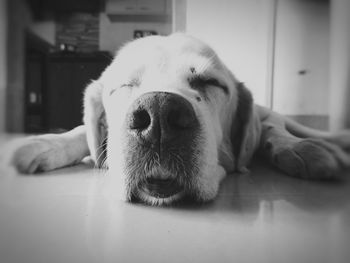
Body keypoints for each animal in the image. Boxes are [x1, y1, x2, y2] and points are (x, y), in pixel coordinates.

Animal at [8, 33, 350, 206]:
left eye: (210, 83)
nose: (158, 114)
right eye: (125, 85)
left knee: (272, 128)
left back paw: (303, 149)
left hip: (268, 114)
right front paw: (46, 143)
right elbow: (83, 133)